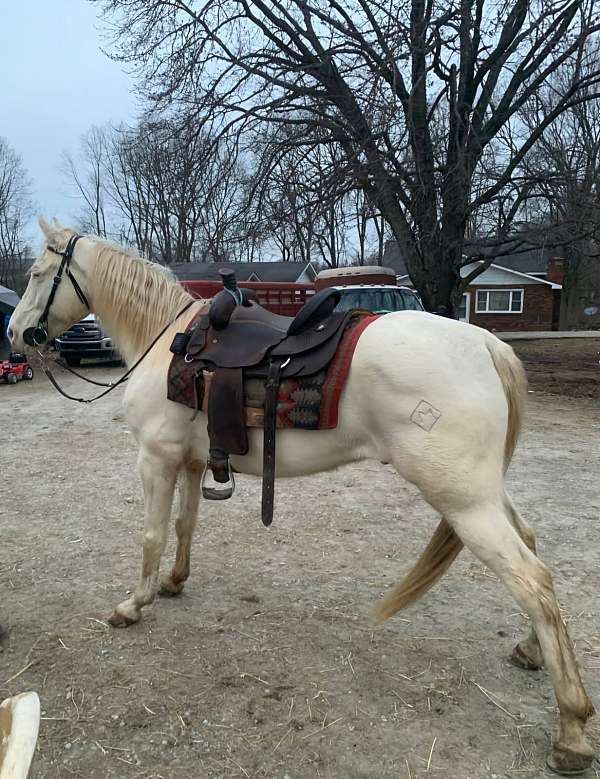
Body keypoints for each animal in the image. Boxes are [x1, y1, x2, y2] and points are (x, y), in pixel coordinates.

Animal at [7, 218, 594, 774]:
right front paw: (174, 583)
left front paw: (134, 604)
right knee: (533, 551)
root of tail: (486, 344)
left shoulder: (155, 460)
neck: (167, 339)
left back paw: (571, 733)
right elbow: (184, 525)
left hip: (465, 503)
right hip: (484, 494)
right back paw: (532, 653)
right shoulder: (191, 461)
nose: (16, 333)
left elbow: (151, 534)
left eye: (36, 274)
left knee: (532, 581)